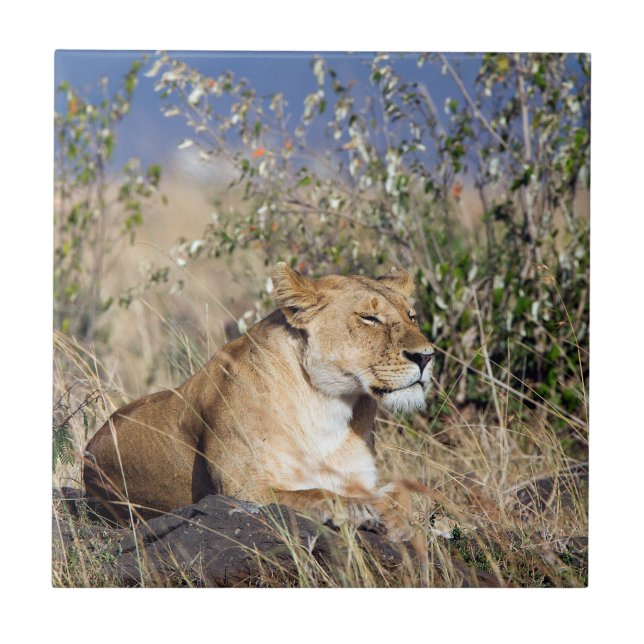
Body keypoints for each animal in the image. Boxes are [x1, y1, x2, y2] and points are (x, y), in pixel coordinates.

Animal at [84, 263, 435, 541]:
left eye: (411, 315)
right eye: (369, 318)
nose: (426, 356)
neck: (328, 405)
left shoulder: (360, 478)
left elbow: (404, 492)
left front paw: (395, 517)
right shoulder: (241, 493)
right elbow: (314, 494)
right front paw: (360, 510)